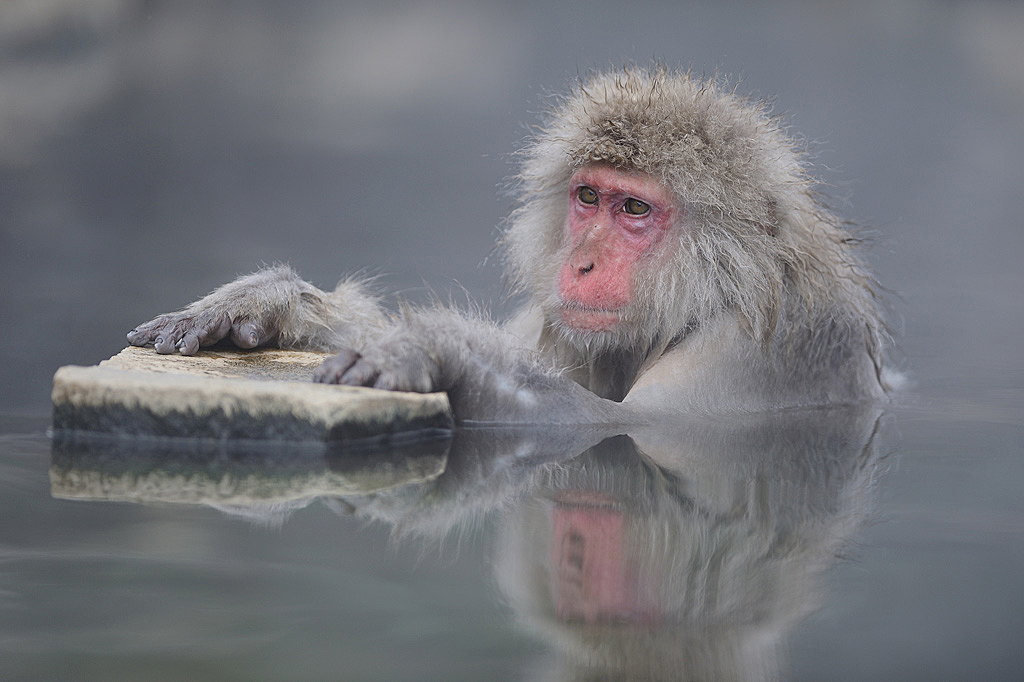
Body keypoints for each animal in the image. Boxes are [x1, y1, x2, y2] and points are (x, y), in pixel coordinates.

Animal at [125, 67, 897, 419]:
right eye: (589, 198)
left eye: (635, 208)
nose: (580, 262)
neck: (714, 294)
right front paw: (268, 302)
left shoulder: (761, 348)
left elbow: (614, 427)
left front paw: (433, 348)